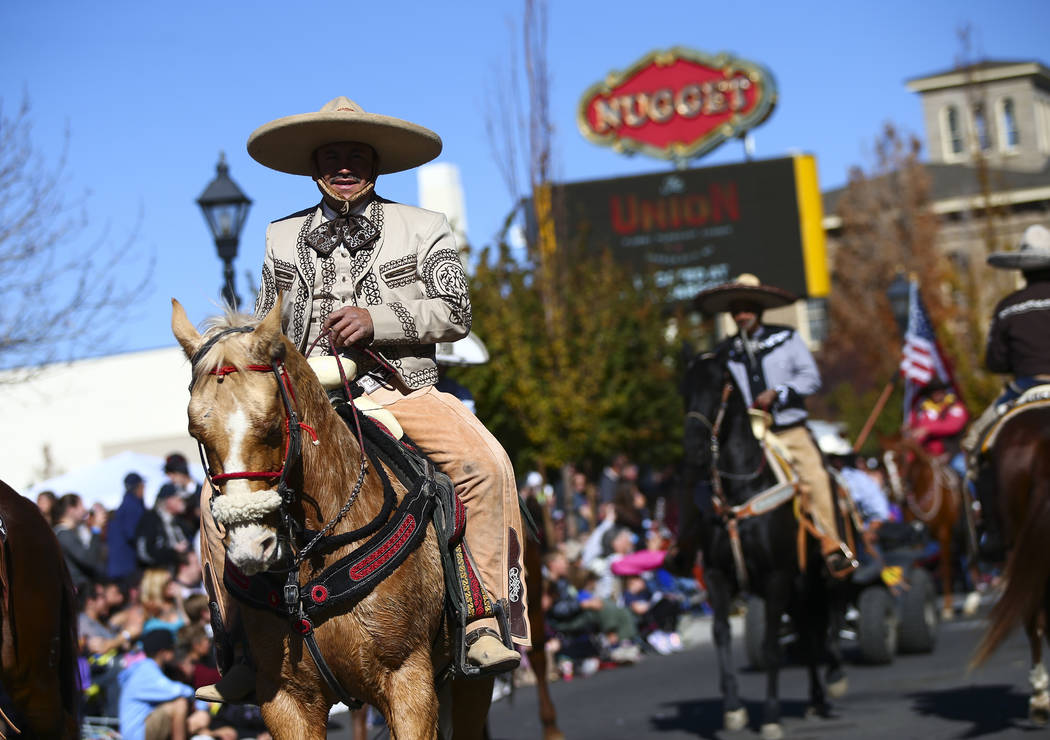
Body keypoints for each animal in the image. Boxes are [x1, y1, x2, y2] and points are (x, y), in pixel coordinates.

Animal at [172, 300, 495, 738]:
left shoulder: (409, 683)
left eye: (271, 424)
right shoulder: (285, 699)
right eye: (197, 432)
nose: (251, 546)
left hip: (468, 688)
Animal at [667, 348, 848, 734]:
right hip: (798, 588)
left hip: (819, 577)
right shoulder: (719, 577)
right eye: (684, 390)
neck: (742, 491)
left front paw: (770, 716)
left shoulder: (777, 578)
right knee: (808, 632)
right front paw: (733, 708)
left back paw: (833, 678)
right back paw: (815, 698)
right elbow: (721, 632)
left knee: (828, 621)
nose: (694, 448)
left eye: (718, 387)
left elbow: (769, 647)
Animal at [881, 436, 978, 621]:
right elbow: (914, 564)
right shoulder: (914, 538)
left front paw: (947, 608)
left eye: (901, 457)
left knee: (967, 557)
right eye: (881, 463)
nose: (895, 493)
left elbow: (946, 569)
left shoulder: (944, 532)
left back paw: (972, 599)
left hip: (964, 531)